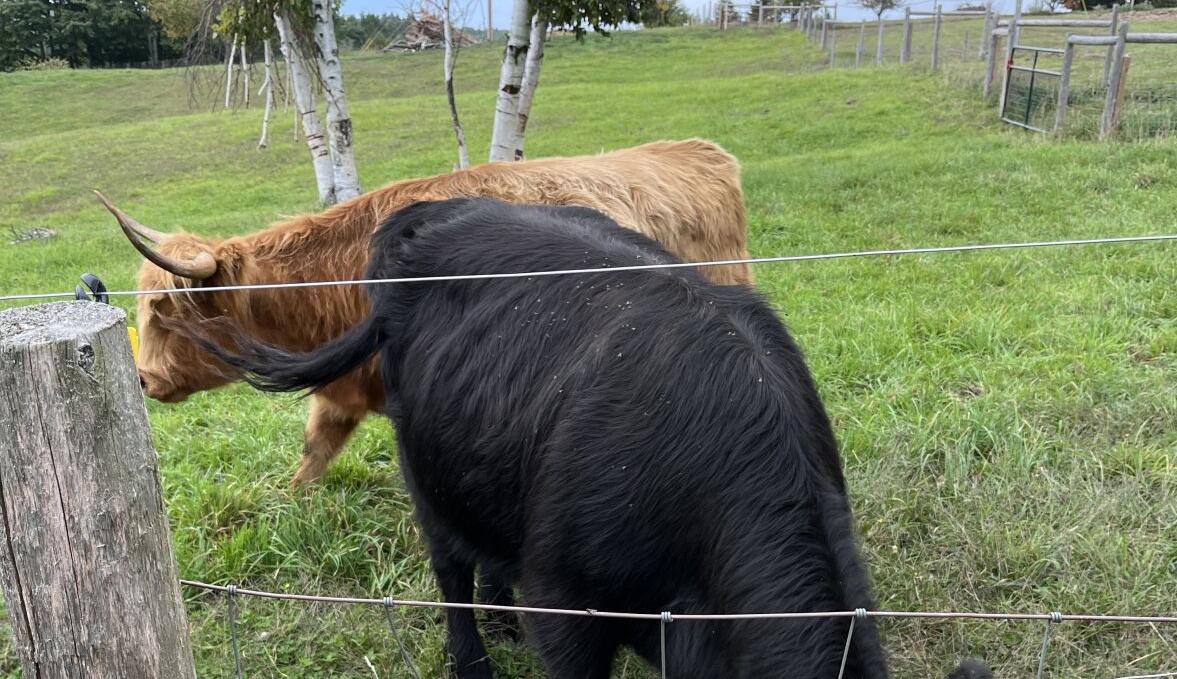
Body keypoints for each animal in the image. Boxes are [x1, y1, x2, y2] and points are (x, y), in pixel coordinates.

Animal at [99, 139, 752, 490]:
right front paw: (289, 503)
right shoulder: (341, 390)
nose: (144, 379)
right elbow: (313, 453)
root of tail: (698, 151)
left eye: (163, 312)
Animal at [197, 198, 989, 679]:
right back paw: (473, 656)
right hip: (424, 468)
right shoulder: (566, 608)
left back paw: (502, 619)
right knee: (448, 565)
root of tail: (434, 210)